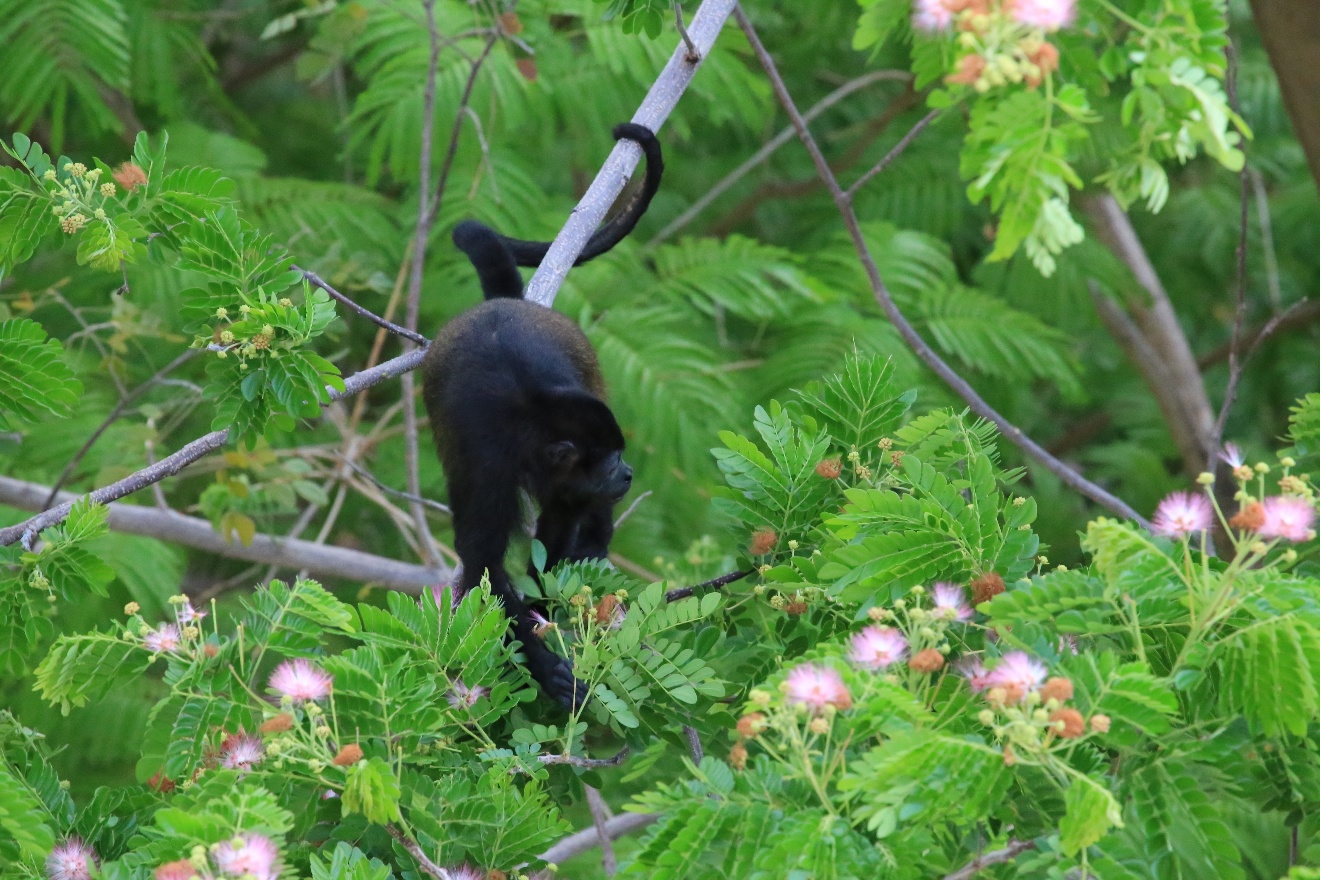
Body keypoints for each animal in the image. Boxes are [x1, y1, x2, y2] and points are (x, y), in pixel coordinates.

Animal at [422, 123, 662, 708]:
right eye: (610, 462)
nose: (626, 473)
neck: (532, 421)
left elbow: (559, 516)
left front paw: (549, 601)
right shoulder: (488, 462)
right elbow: (483, 558)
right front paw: (541, 661)